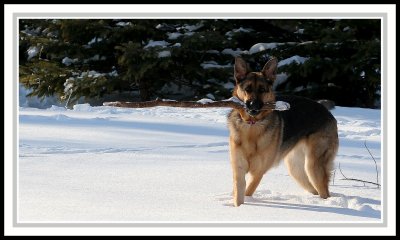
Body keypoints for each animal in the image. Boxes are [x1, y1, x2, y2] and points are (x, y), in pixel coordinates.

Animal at [228, 56, 338, 206]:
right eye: (247, 89)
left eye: (262, 90)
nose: (253, 107)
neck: (252, 125)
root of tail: (327, 112)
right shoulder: (238, 171)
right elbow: (239, 196)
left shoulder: (258, 173)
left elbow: (248, 191)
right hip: (296, 169)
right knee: (314, 189)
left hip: (314, 166)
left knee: (324, 192)